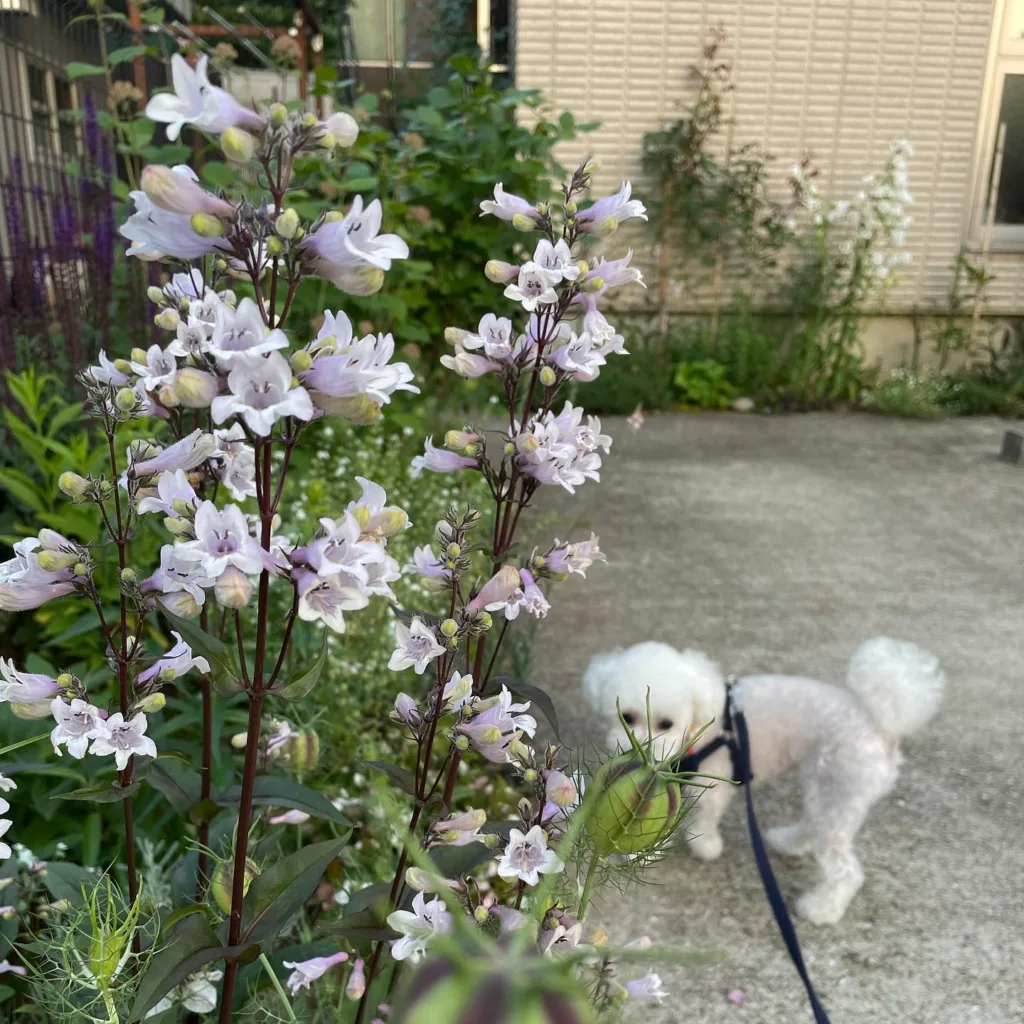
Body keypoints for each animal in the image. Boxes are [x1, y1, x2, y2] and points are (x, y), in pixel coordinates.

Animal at [585, 634, 942, 925]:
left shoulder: (712, 785)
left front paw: (705, 847)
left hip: (840, 792)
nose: (638, 751)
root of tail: (879, 724)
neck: (702, 723)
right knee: (813, 825)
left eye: (665, 724)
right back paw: (789, 842)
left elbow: (703, 819)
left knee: (846, 871)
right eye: (627, 717)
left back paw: (821, 910)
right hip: (823, 787)